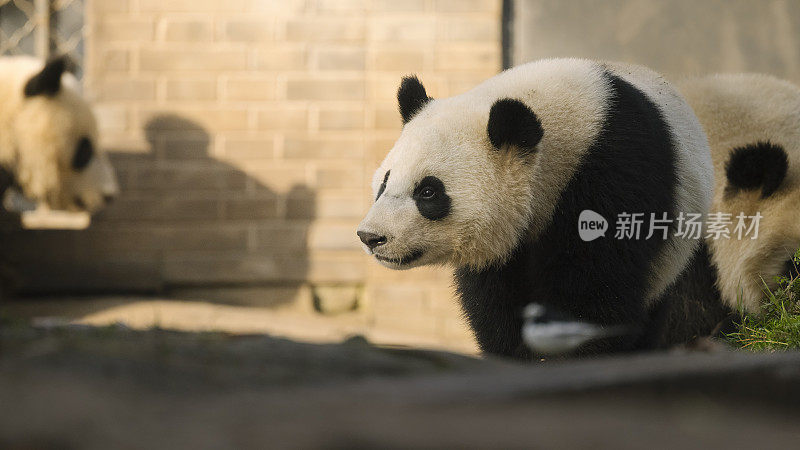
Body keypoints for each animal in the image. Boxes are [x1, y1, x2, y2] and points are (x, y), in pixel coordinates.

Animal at [358, 59, 724, 358]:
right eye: (385, 182)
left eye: (428, 191)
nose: (371, 237)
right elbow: (494, 302)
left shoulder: (615, 174)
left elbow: (594, 292)